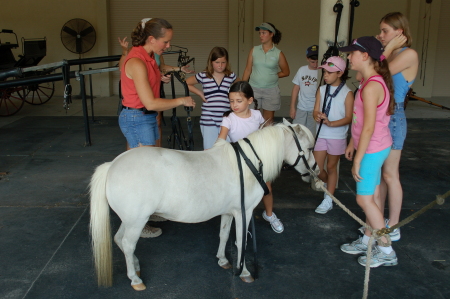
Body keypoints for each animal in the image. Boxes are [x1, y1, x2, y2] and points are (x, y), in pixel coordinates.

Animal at [89, 119, 318, 290]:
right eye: (309, 148)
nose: (315, 172)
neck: (247, 165)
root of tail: (112, 165)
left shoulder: (230, 212)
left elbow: (224, 235)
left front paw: (223, 260)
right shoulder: (243, 213)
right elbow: (241, 242)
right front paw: (244, 272)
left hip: (129, 220)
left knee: (119, 239)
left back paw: (136, 267)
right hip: (137, 221)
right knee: (128, 244)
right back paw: (135, 280)